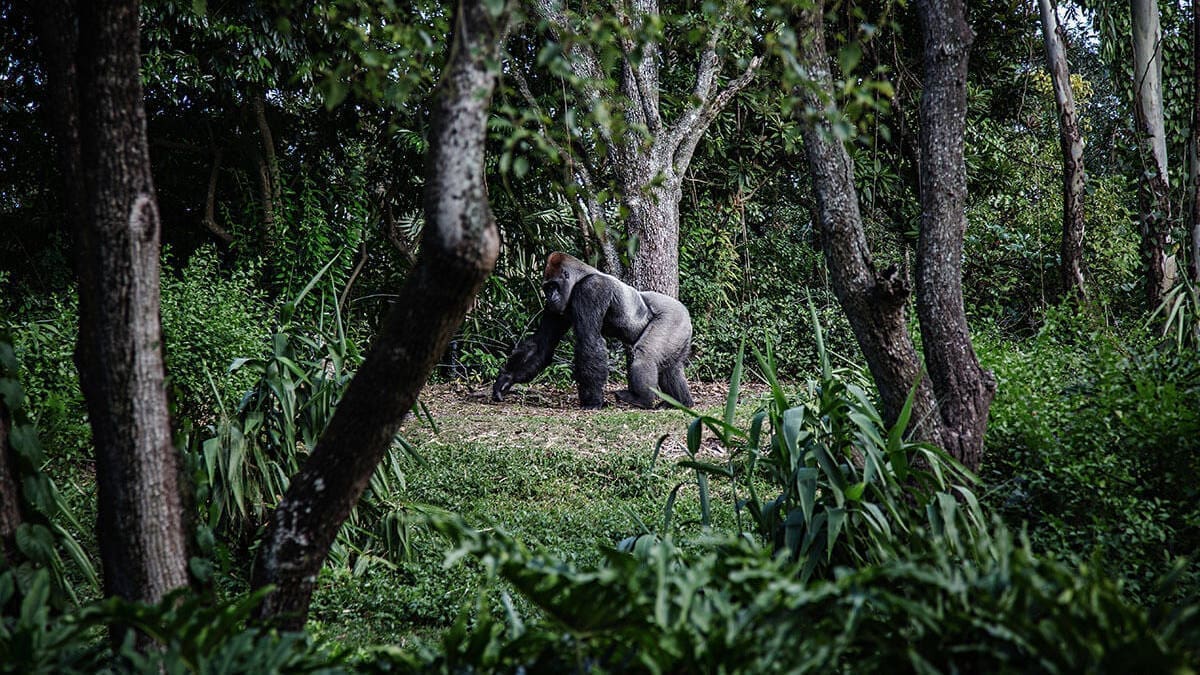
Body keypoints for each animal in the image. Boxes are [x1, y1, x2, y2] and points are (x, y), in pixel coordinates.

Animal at [492, 252, 694, 409]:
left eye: (554, 286)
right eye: (547, 288)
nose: (549, 297)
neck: (579, 277)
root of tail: (685, 311)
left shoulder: (591, 289)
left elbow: (588, 340)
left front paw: (592, 401)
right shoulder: (555, 308)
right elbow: (542, 343)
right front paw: (506, 379)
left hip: (673, 317)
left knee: (646, 354)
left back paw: (642, 399)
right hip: (680, 329)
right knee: (671, 367)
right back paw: (681, 402)